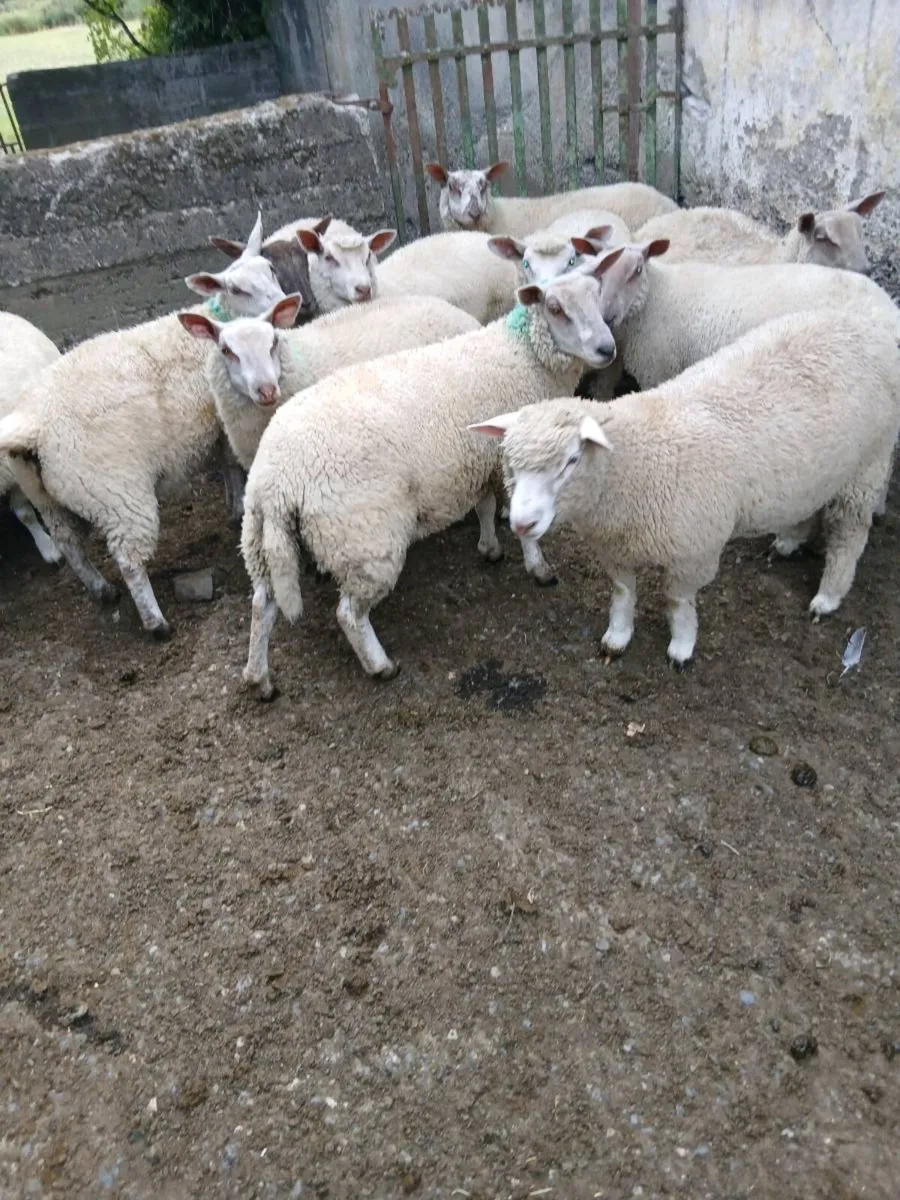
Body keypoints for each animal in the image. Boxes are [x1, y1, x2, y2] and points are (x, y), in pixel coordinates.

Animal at [0, 250, 291, 640]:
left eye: (271, 270)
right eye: (237, 288)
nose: (281, 304)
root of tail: (32, 424)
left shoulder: (217, 428)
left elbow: (226, 467)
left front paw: (232, 505)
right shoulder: (227, 420)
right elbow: (231, 465)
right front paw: (236, 507)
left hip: (48, 496)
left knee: (69, 544)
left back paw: (100, 589)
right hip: (117, 495)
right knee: (129, 560)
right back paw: (155, 622)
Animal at [238, 258, 623, 696]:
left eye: (597, 293)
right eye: (556, 308)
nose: (607, 349)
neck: (523, 357)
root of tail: (275, 478)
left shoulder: (477, 459)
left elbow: (484, 504)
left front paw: (489, 547)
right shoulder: (513, 460)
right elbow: (517, 518)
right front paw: (537, 566)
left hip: (261, 540)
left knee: (262, 604)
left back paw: (259, 677)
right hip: (365, 537)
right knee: (349, 614)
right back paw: (380, 665)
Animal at [470, 310, 900, 667]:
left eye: (572, 460)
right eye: (509, 462)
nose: (522, 524)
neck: (635, 463)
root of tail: (867, 322)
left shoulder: (693, 552)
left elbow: (678, 603)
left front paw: (681, 646)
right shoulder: (614, 546)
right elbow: (623, 593)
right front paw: (617, 637)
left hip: (868, 464)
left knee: (849, 533)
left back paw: (828, 597)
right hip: (820, 470)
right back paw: (790, 540)